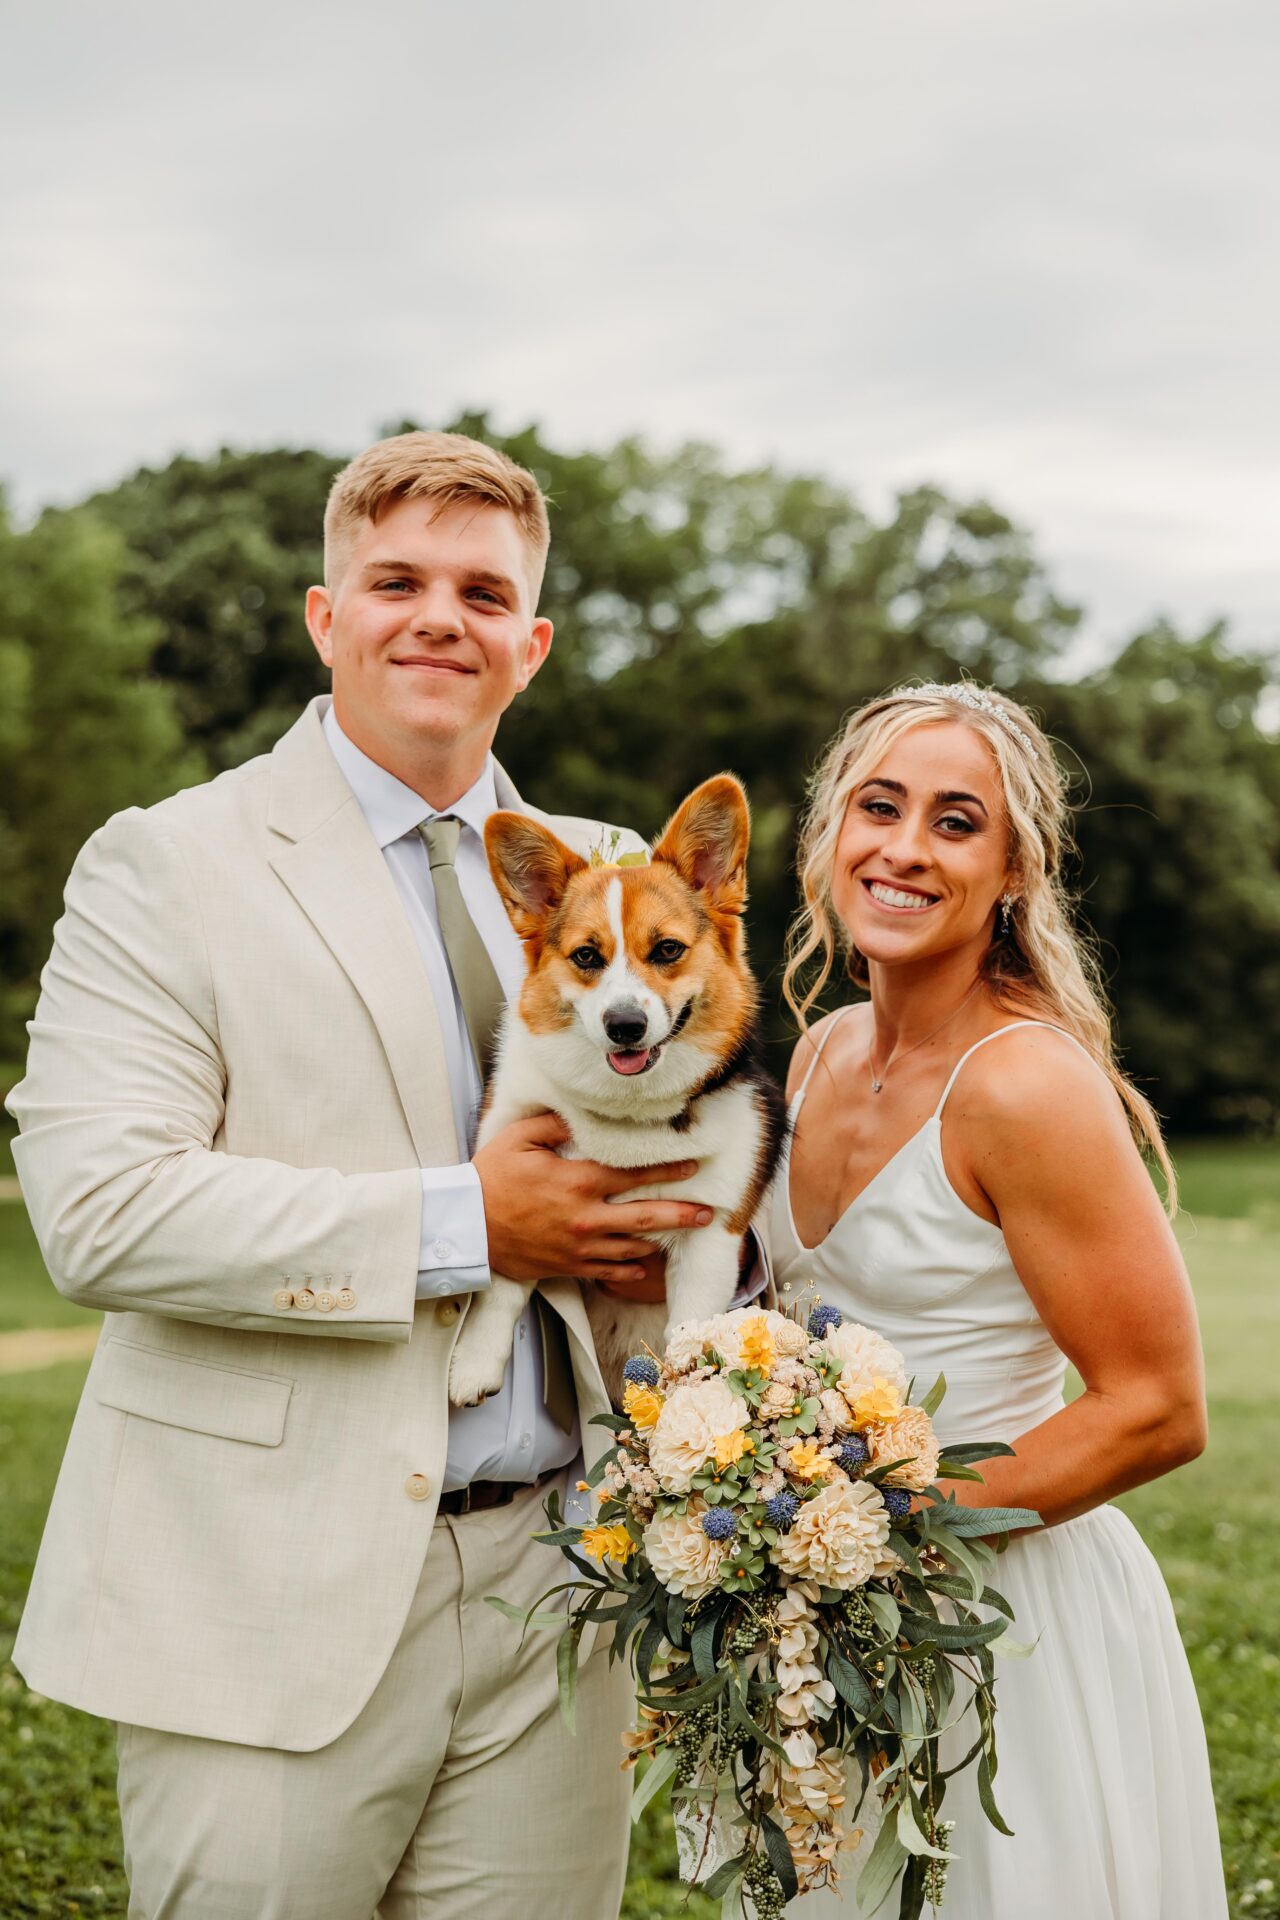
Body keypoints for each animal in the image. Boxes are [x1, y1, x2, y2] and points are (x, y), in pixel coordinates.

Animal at [450, 775, 790, 1413]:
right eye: (587, 955)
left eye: (667, 950)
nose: (625, 1026)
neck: (628, 1110)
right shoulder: (513, 1202)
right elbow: (500, 1290)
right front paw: (474, 1366)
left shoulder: (711, 1239)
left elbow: (686, 1338)